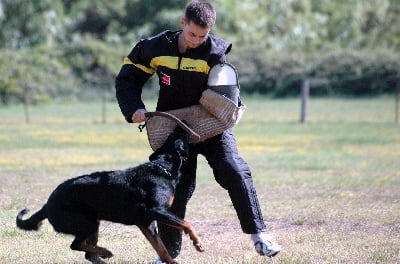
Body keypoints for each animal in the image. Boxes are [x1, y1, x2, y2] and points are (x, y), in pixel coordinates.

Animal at [15, 126, 203, 264]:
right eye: (179, 136)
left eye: (172, 136)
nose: (181, 125)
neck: (162, 168)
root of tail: (47, 205)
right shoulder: (156, 211)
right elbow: (187, 224)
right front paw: (198, 243)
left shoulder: (146, 223)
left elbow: (161, 248)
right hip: (88, 223)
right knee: (76, 245)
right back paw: (105, 252)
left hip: (93, 224)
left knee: (87, 253)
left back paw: (102, 256)